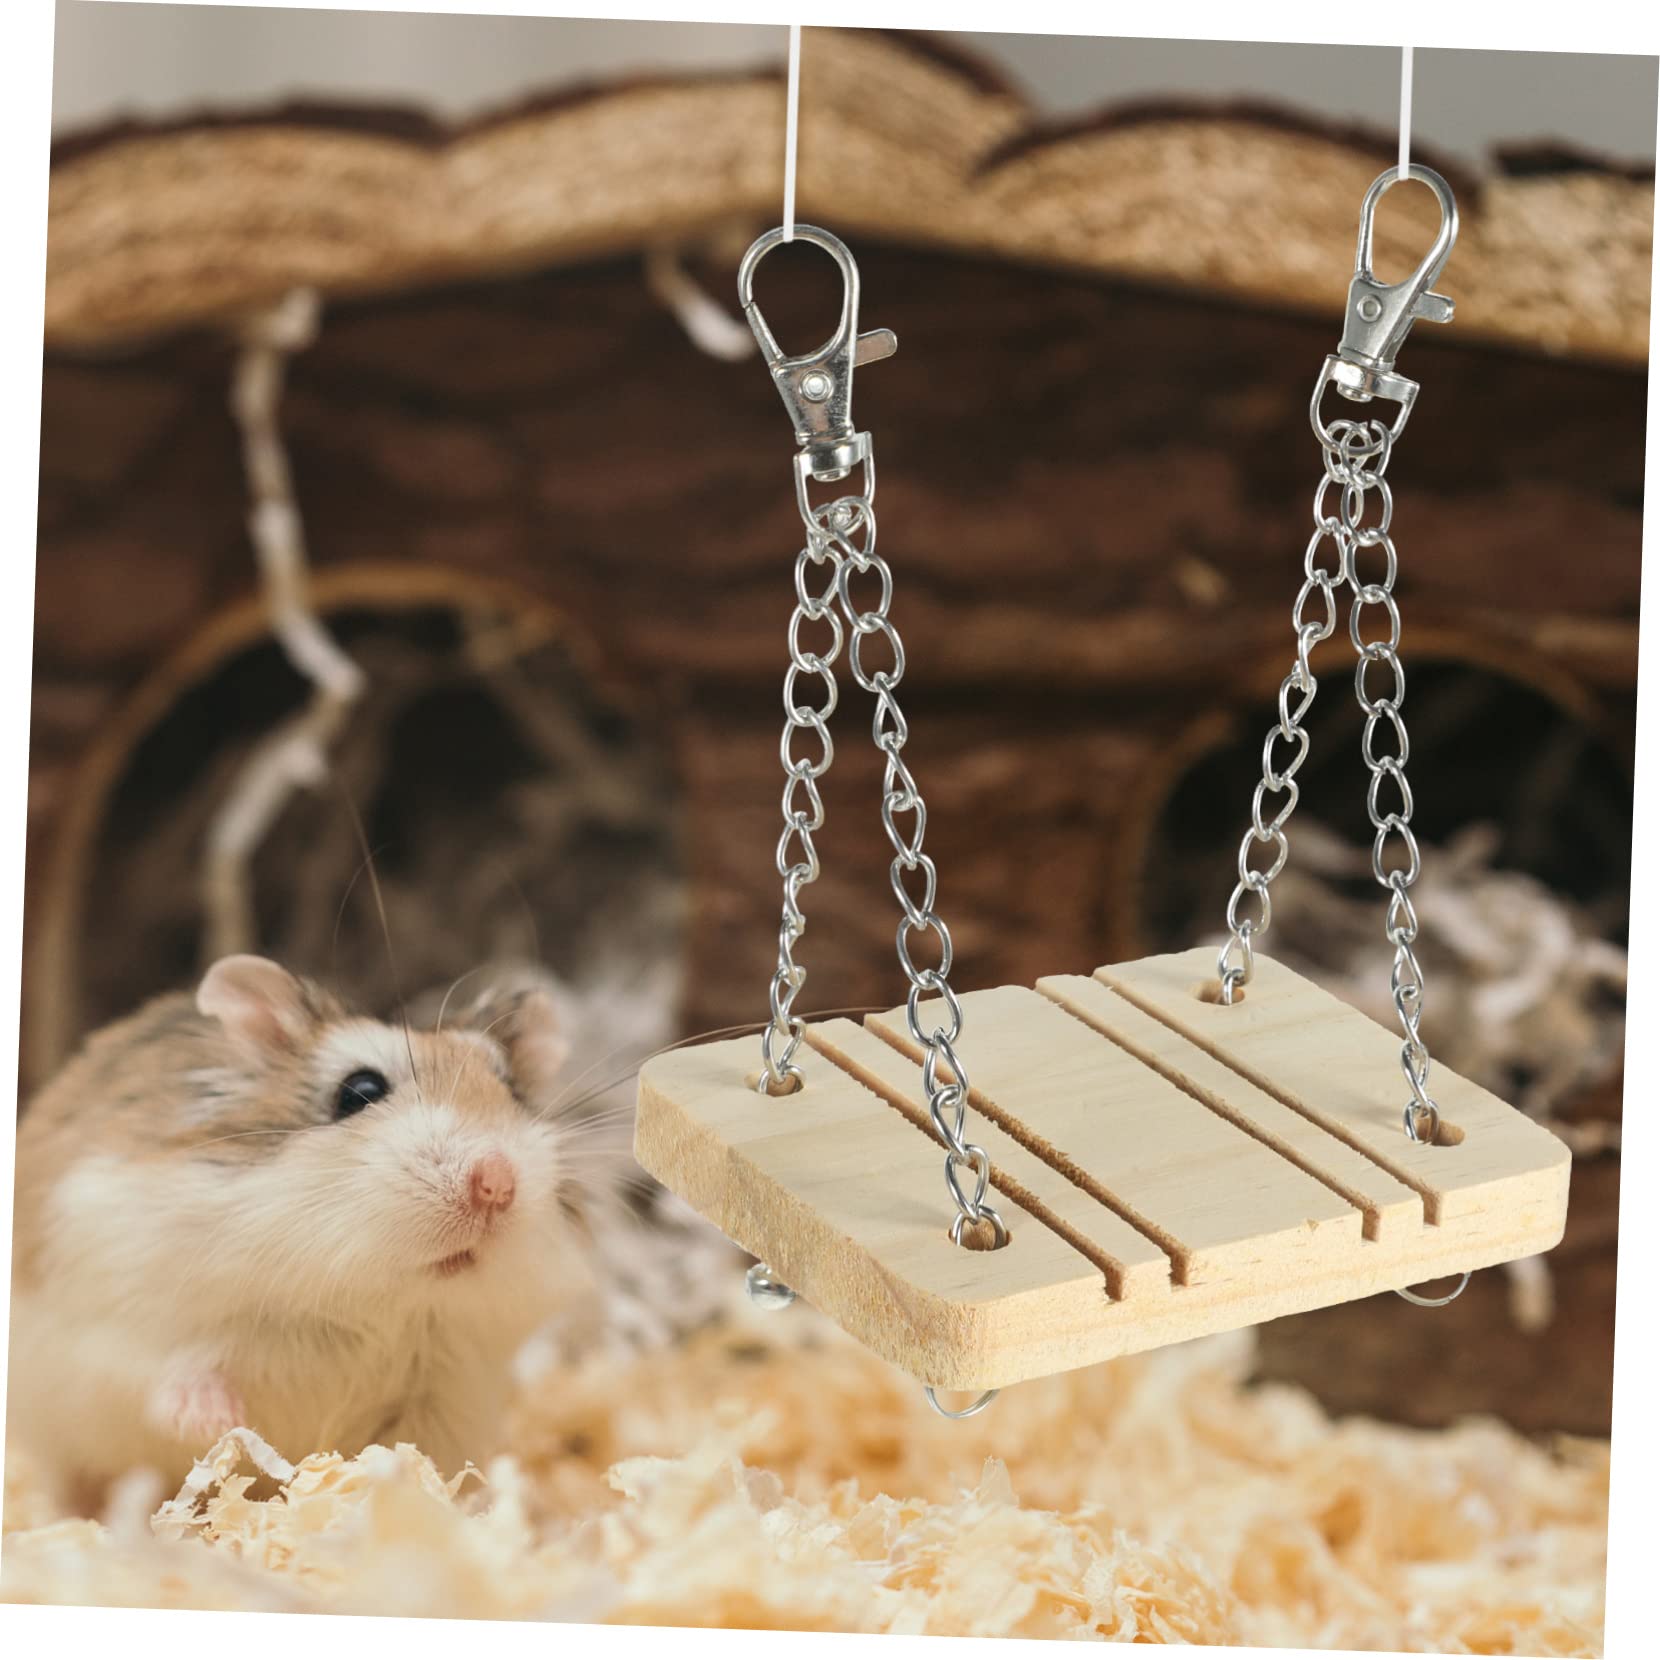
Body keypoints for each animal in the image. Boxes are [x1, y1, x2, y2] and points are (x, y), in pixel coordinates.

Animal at [8, 954, 593, 1513]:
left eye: (512, 1090)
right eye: (359, 1091)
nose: (496, 1183)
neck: (376, 1301)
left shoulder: (444, 1398)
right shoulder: (123, 1316)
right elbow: (172, 1372)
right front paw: (218, 1423)